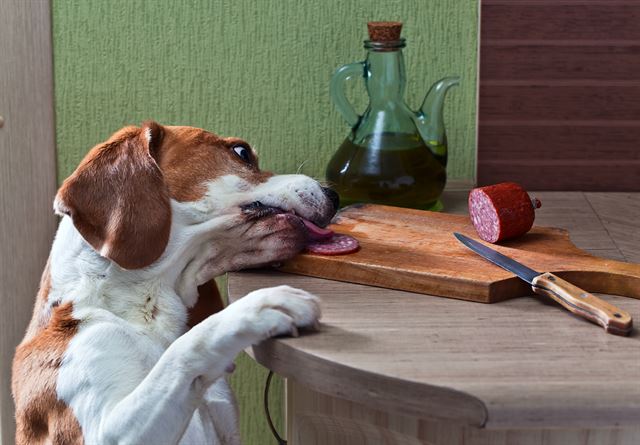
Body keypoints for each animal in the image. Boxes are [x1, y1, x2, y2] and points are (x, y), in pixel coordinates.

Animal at [11, 121, 336, 444]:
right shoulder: (109, 432)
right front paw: (261, 305)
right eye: (241, 152)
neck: (145, 313)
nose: (333, 195)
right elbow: (186, 348)